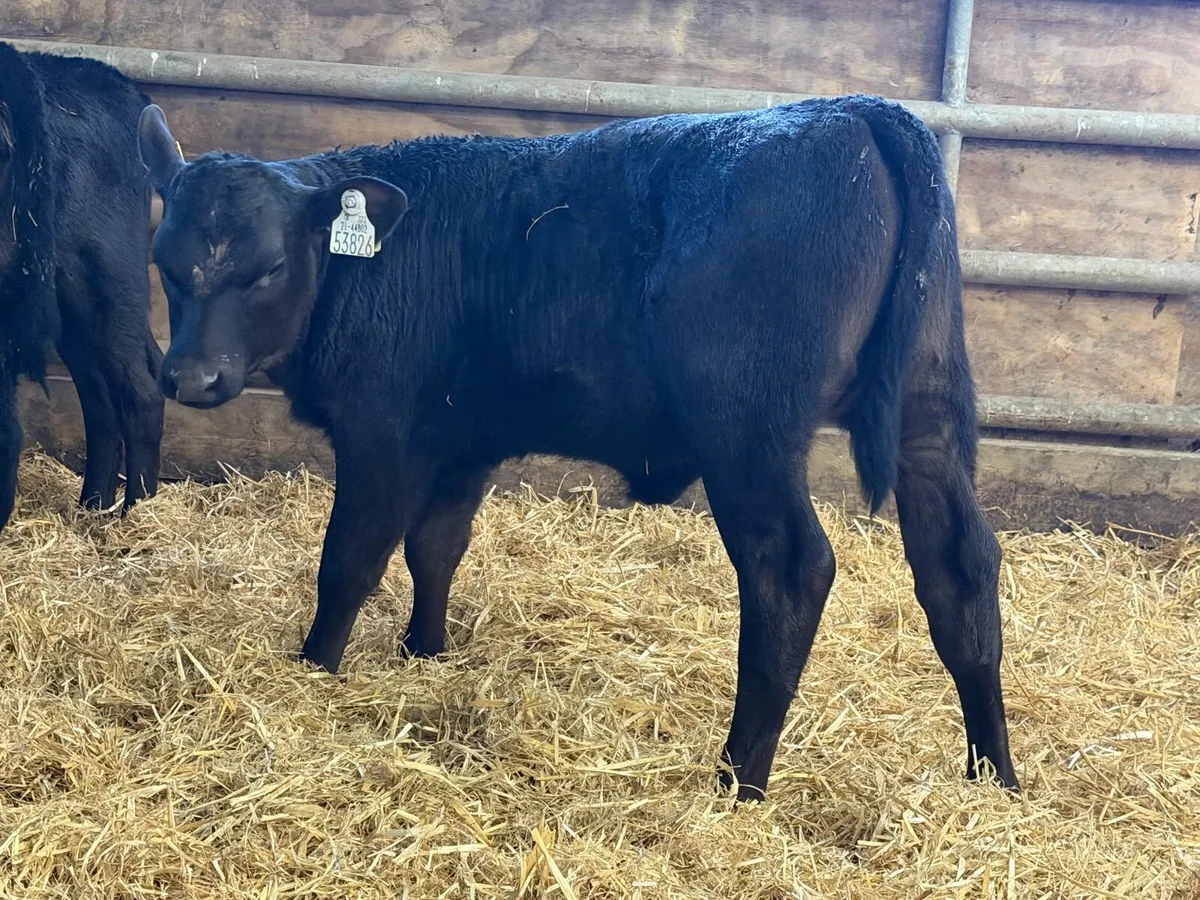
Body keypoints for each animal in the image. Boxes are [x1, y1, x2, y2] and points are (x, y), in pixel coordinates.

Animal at [0, 42, 163, 528]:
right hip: (79, 297)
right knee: (101, 394)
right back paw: (94, 503)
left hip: (102, 275)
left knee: (138, 389)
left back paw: (137, 515)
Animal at [137, 94, 1018, 799]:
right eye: (165, 265)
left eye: (268, 268)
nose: (191, 377)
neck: (372, 260)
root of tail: (854, 110)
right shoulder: (460, 441)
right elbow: (436, 548)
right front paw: (425, 652)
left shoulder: (380, 432)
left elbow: (350, 560)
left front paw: (316, 668)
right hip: (929, 414)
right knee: (959, 567)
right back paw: (994, 774)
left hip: (749, 435)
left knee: (791, 571)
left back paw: (739, 780)